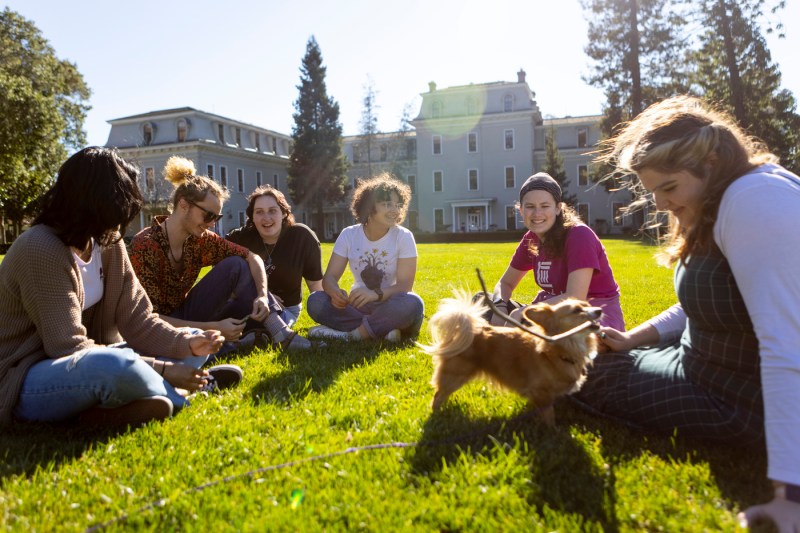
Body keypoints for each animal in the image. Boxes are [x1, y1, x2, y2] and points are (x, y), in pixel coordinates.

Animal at [418, 290, 600, 424]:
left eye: (588, 305)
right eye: (577, 311)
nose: (599, 310)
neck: (558, 349)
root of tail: (468, 330)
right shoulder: (541, 393)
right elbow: (549, 416)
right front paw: (553, 432)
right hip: (456, 374)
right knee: (438, 395)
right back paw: (436, 415)